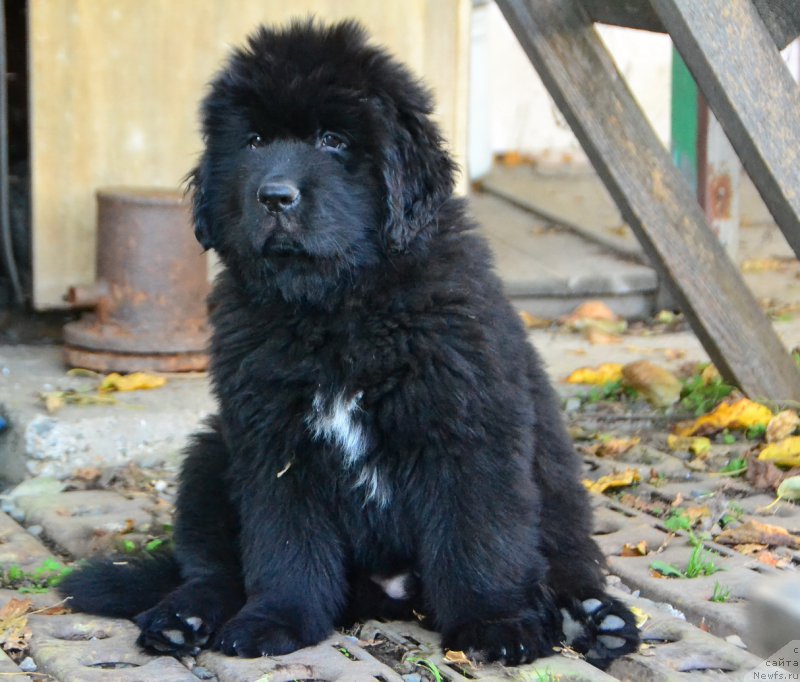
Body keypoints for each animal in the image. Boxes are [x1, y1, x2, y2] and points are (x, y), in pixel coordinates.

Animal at [61, 19, 636, 664]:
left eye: (333, 140)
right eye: (254, 142)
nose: (275, 196)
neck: (337, 308)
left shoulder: (466, 423)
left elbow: (478, 534)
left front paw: (497, 623)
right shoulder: (271, 438)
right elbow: (286, 546)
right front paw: (277, 619)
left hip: (558, 479)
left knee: (568, 557)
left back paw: (594, 618)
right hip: (211, 453)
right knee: (212, 568)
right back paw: (180, 618)